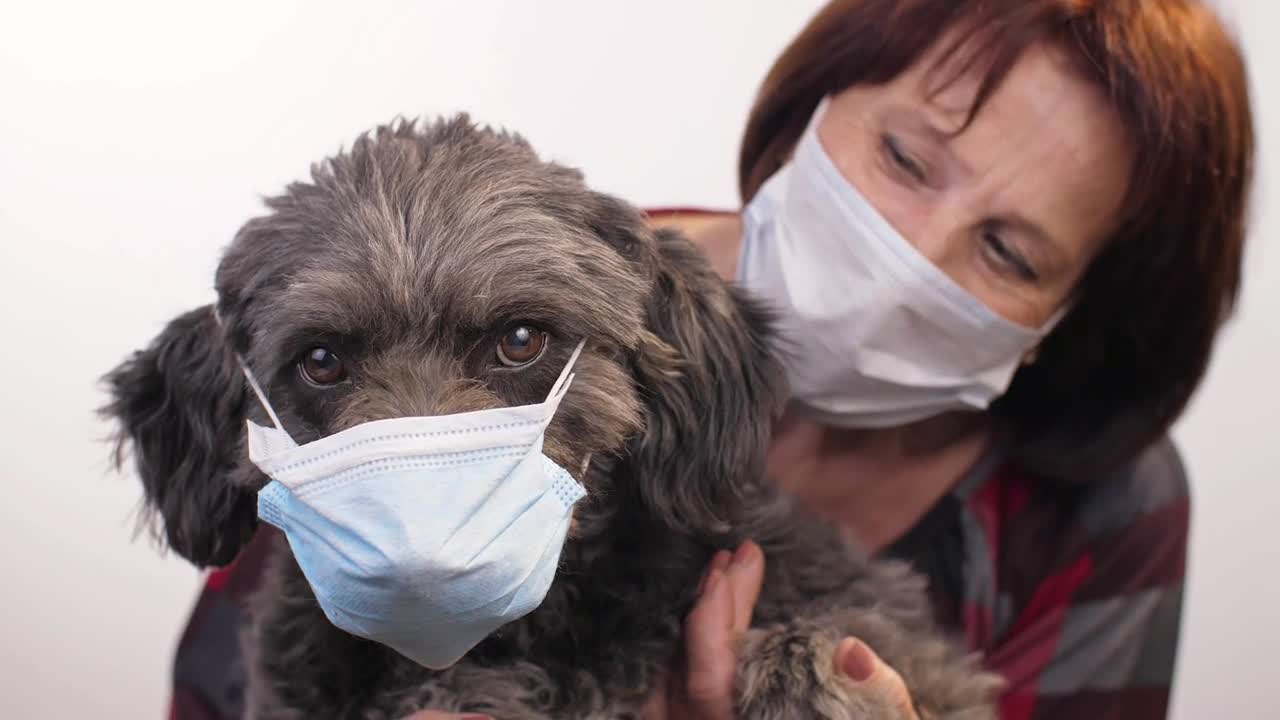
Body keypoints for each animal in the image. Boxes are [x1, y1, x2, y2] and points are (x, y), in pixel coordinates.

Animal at [102, 114, 998, 712]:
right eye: (320, 361)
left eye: (521, 339)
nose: (423, 558)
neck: (500, 637)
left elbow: (869, 643)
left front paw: (809, 678)